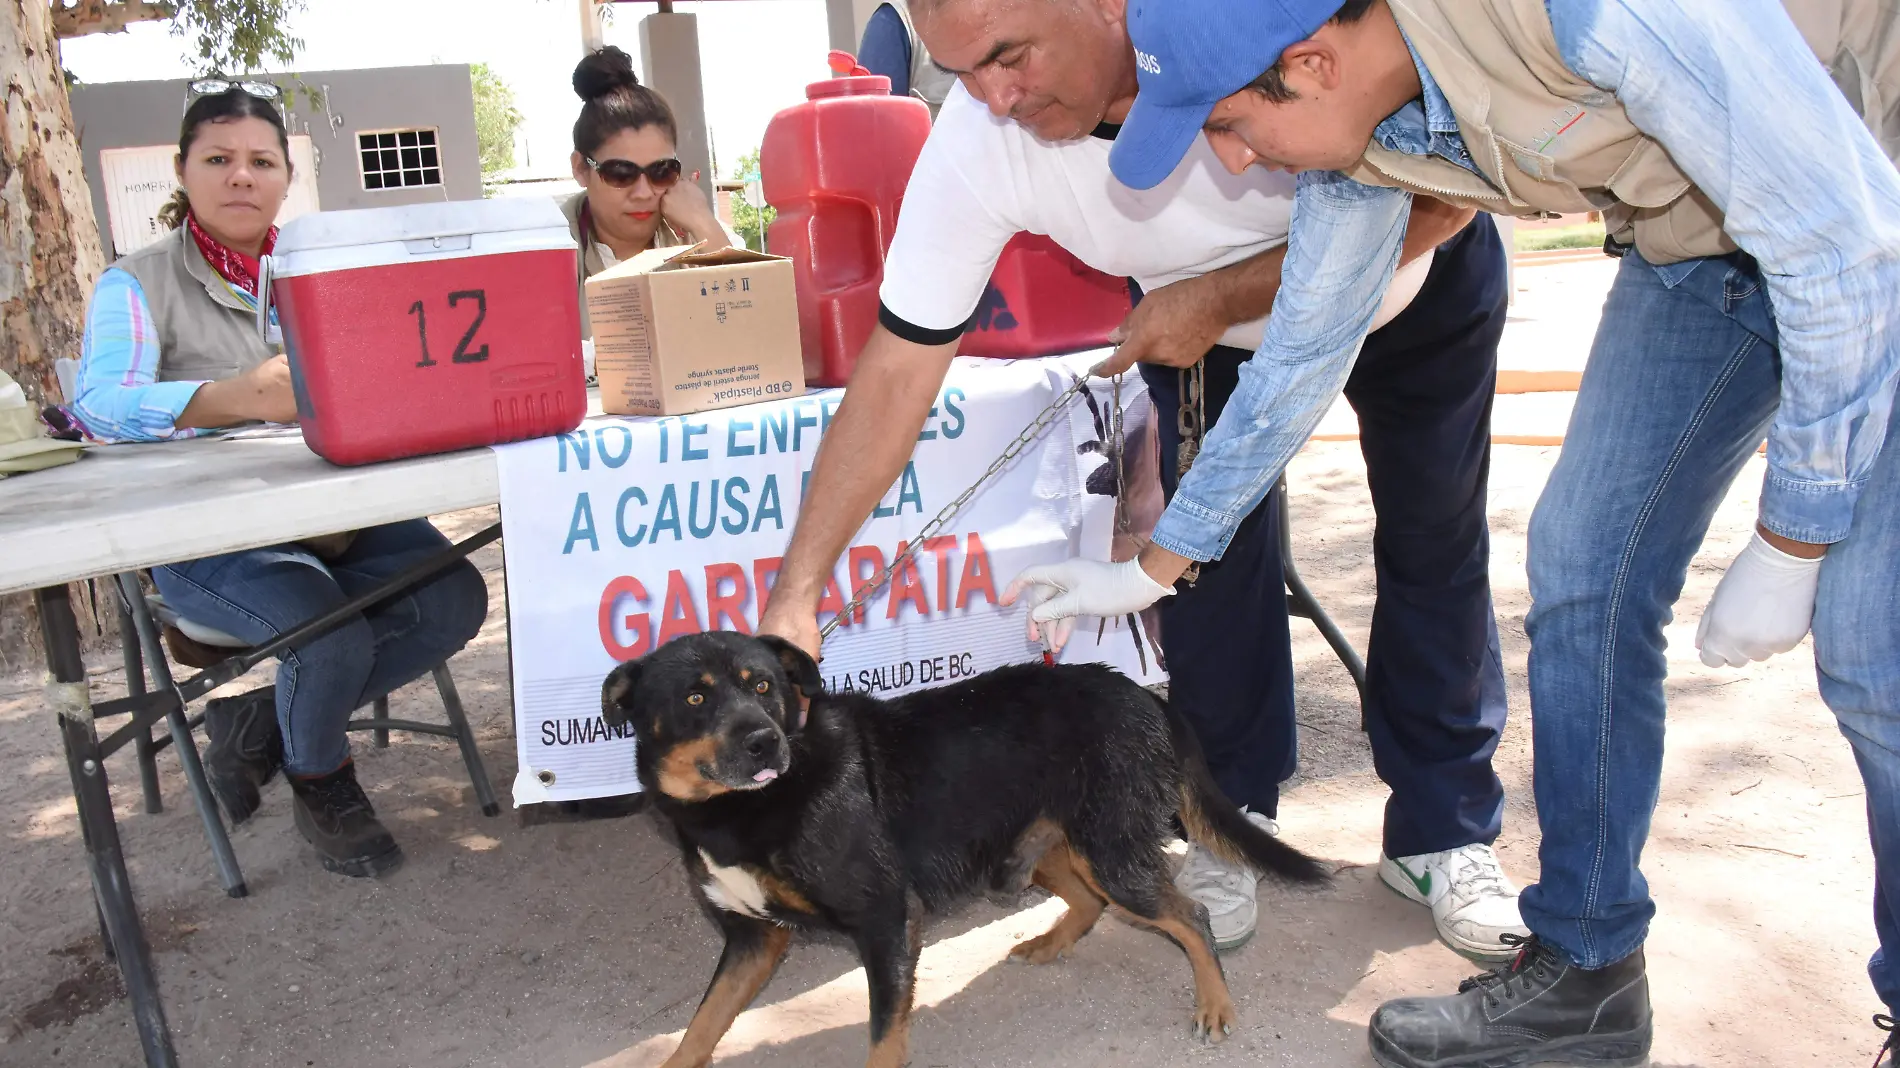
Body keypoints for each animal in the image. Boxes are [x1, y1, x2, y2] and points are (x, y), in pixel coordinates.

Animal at [600, 630, 1330, 1064]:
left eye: (763, 687)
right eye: (695, 698)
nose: (764, 742)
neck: (740, 810)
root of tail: (1142, 692)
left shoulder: (887, 920)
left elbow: (883, 1034)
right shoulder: (753, 941)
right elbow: (702, 1024)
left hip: (1110, 855)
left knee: (1189, 917)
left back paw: (1215, 1003)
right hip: (1039, 852)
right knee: (1090, 903)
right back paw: (1051, 942)